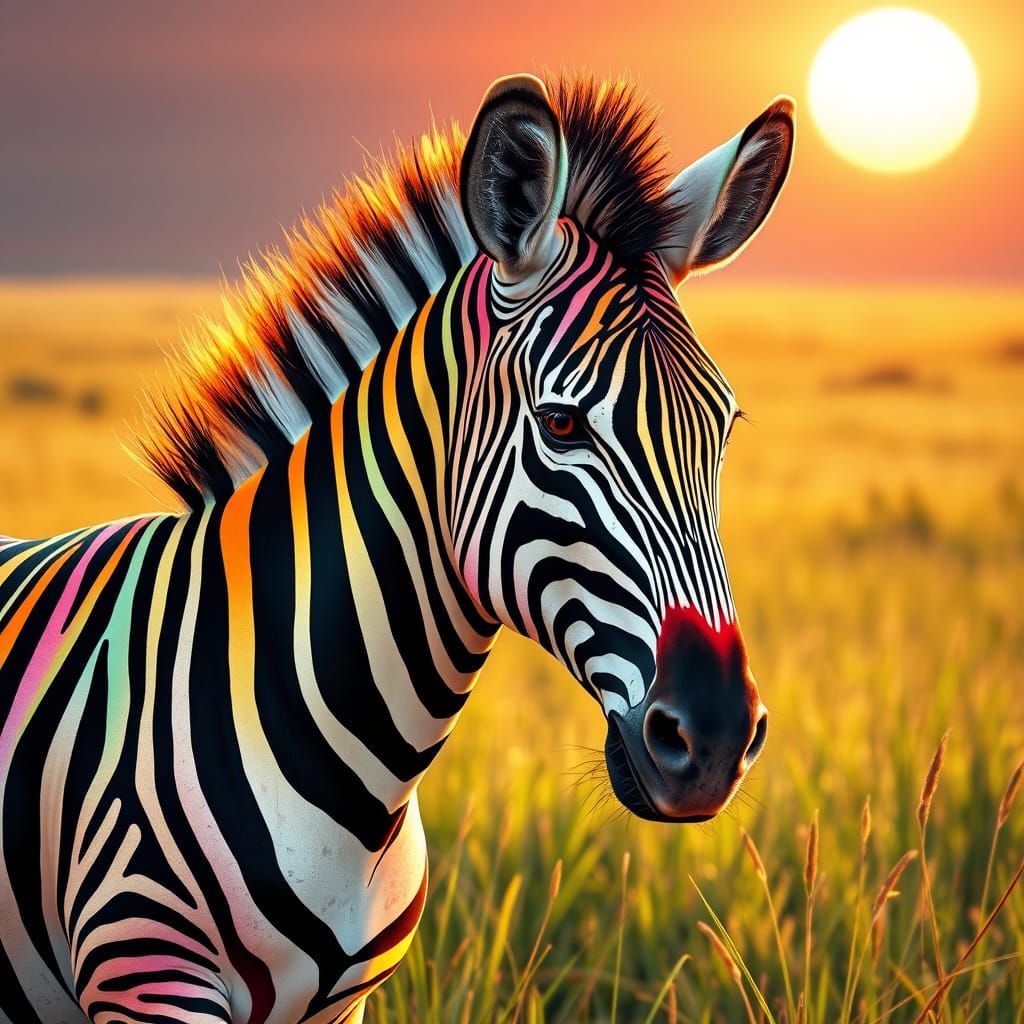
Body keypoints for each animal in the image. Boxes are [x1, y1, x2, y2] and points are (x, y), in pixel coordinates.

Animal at [0, 72, 793, 1023]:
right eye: (561, 424)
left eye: (724, 431)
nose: (714, 740)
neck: (357, 790)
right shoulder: (147, 974)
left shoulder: (341, 1005)